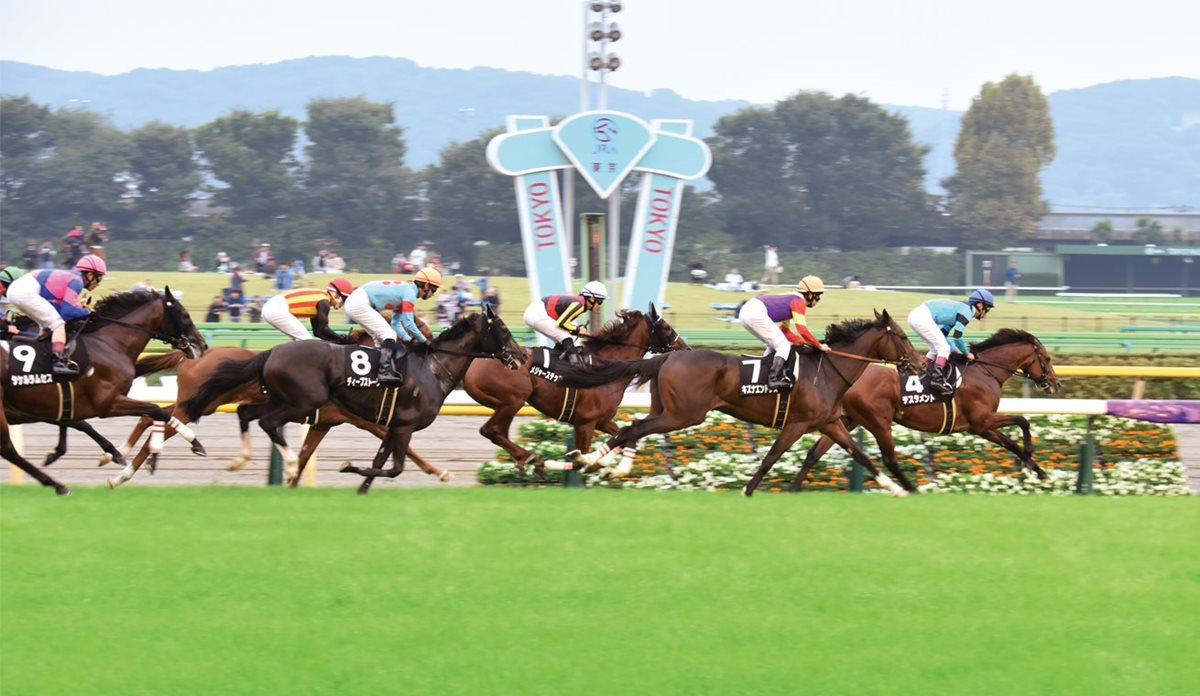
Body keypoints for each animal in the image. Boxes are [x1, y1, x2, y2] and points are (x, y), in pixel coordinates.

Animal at [1, 288, 206, 494]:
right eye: (185, 315)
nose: (202, 344)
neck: (110, 343)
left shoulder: (52, 405)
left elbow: (77, 423)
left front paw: (112, 453)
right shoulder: (106, 404)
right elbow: (156, 409)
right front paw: (191, 442)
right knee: (8, 449)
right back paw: (59, 486)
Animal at [184, 307, 523, 492]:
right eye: (504, 329)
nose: (520, 357)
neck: (431, 368)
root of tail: (271, 352)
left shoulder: (385, 425)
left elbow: (380, 462)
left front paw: (361, 487)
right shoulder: (399, 425)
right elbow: (396, 466)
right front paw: (348, 467)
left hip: (284, 400)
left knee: (245, 412)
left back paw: (240, 460)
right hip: (302, 401)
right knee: (265, 421)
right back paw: (287, 463)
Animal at [458, 306, 686, 475]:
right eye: (666, 327)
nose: (685, 348)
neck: (607, 367)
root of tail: (476, 359)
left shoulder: (602, 420)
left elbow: (622, 435)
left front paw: (602, 464)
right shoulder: (585, 422)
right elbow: (579, 460)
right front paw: (590, 464)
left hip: (507, 404)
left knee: (499, 432)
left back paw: (526, 460)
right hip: (514, 399)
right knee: (492, 430)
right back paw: (533, 458)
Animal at [549, 309, 921, 494]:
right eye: (903, 337)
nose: (919, 364)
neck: (827, 370)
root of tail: (667, 357)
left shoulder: (829, 422)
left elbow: (861, 454)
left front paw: (896, 488)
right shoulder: (798, 422)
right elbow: (770, 457)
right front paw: (748, 490)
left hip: (666, 409)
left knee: (629, 430)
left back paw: (592, 461)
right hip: (684, 414)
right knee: (635, 428)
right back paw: (597, 463)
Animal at [792, 328, 1065, 492]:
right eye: (1047, 359)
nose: (1055, 384)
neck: (985, 370)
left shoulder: (980, 427)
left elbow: (1012, 443)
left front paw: (1040, 472)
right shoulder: (982, 421)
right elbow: (1022, 422)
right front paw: (1032, 458)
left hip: (847, 419)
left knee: (814, 453)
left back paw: (794, 487)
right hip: (877, 420)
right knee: (887, 457)